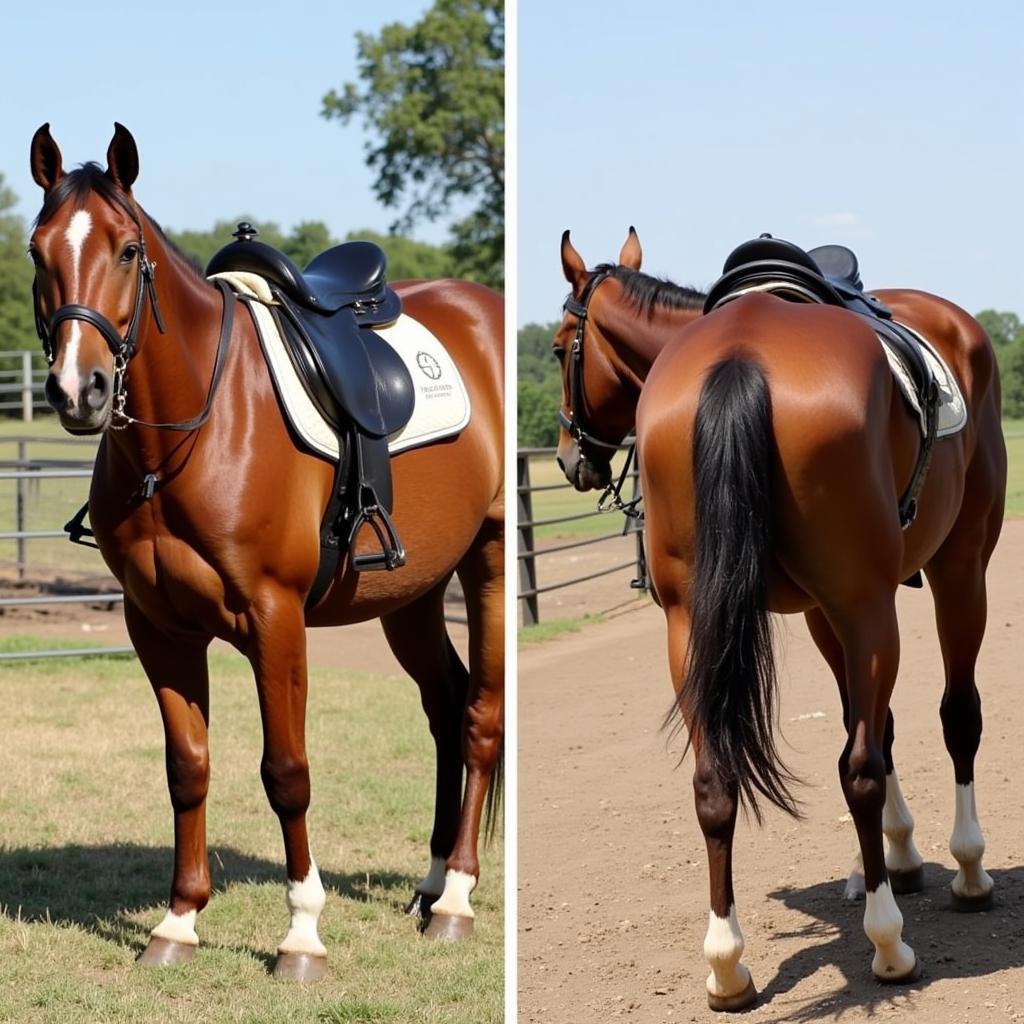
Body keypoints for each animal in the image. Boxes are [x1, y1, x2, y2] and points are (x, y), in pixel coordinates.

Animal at [24, 123, 503, 978]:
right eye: (38, 250)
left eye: (126, 250)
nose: (80, 390)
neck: (194, 429)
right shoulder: (158, 628)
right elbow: (188, 766)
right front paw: (178, 921)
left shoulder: (274, 619)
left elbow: (287, 772)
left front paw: (302, 934)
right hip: (412, 594)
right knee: (445, 706)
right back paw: (429, 882)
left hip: (488, 560)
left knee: (480, 715)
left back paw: (456, 898)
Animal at [557, 230, 1003, 1007]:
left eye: (559, 350)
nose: (565, 457)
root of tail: (742, 358)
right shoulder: (869, 598)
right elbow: (893, 731)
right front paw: (926, 862)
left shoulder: (907, 583)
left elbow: (919, 721)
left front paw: (922, 855)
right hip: (871, 598)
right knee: (863, 759)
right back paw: (894, 934)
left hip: (755, 611)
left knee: (733, 776)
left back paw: (732, 964)